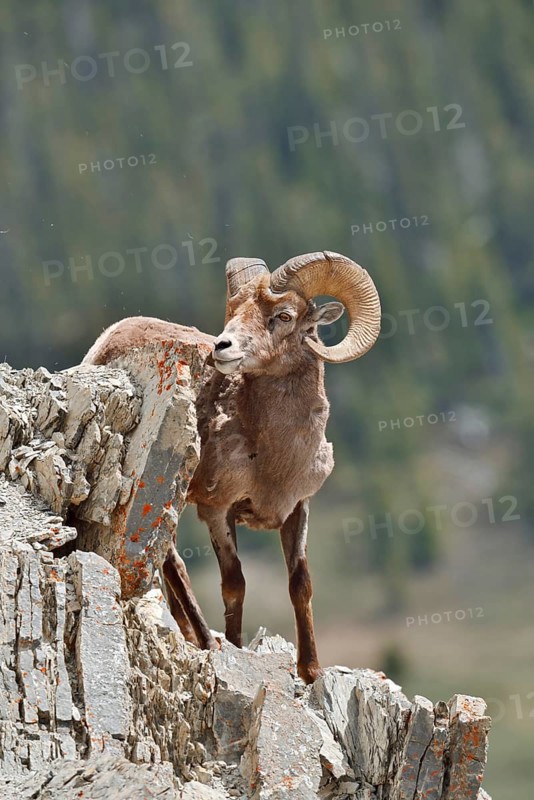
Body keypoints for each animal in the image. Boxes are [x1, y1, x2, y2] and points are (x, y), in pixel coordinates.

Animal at [83, 251, 381, 683]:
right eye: (233, 312)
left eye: (284, 316)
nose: (221, 347)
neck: (271, 458)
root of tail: (110, 337)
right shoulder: (217, 510)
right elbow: (234, 584)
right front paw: (237, 652)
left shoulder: (298, 508)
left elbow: (300, 583)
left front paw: (311, 672)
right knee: (171, 561)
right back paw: (206, 640)